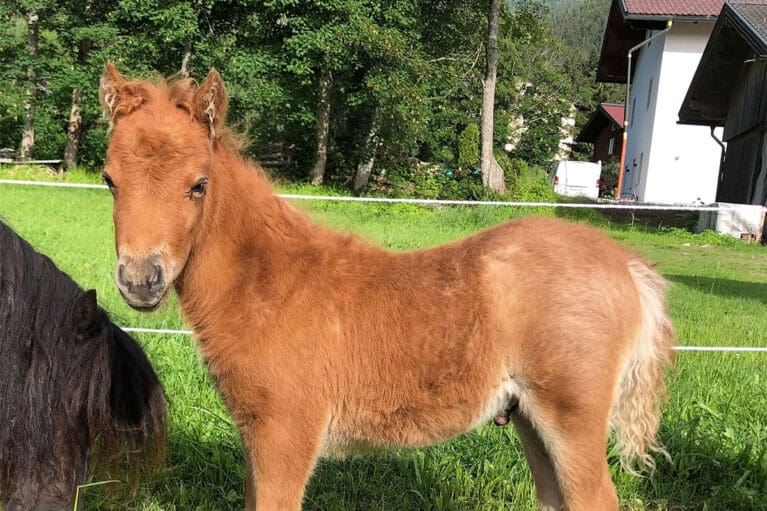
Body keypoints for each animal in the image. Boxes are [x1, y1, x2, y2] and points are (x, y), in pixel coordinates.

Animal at [99, 64, 676, 511]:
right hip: (532, 422)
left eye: (199, 184)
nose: (140, 280)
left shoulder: (285, 431)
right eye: (109, 180)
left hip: (572, 419)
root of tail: (626, 263)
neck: (267, 284)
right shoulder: (255, 433)